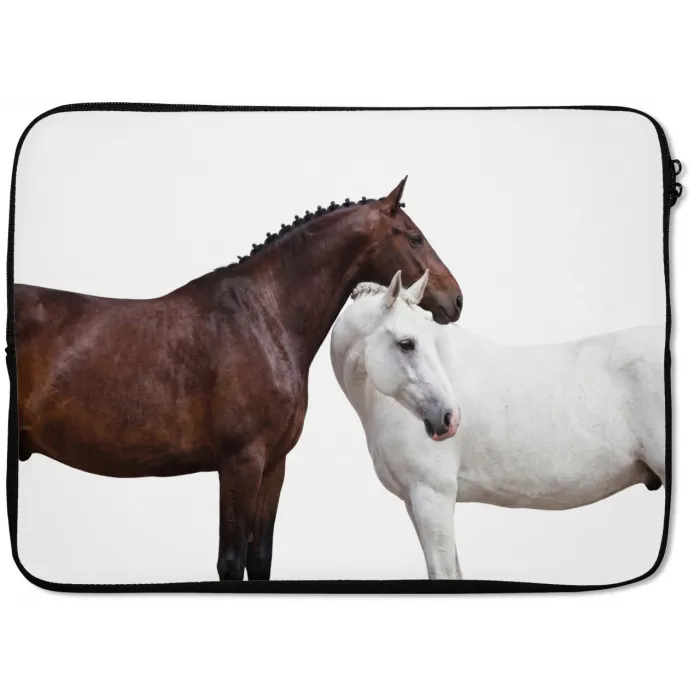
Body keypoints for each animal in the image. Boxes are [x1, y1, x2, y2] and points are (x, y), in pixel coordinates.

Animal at [13, 177, 464, 582]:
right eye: (415, 238)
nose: (456, 299)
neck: (263, 319)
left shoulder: (274, 465)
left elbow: (259, 557)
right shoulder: (240, 463)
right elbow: (230, 561)